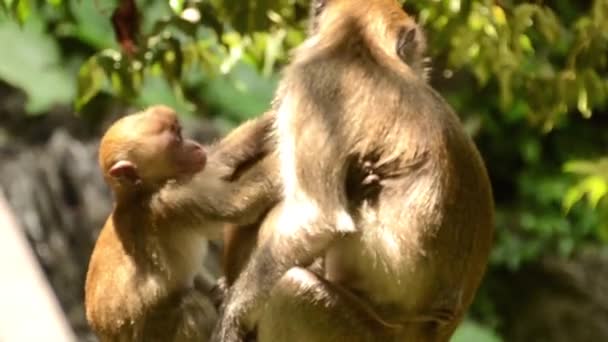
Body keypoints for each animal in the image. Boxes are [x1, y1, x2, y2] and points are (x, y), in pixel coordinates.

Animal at [214, 0, 494, 342]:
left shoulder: (312, 82)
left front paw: (231, 320)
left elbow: (315, 218)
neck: (363, 48)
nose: (423, 67)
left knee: (290, 289)